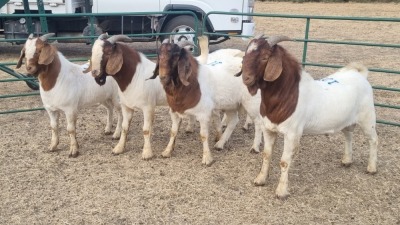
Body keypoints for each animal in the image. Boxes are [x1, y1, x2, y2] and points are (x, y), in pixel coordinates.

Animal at [236, 35, 380, 199]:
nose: (246, 78)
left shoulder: (292, 133)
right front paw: (260, 179)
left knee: (373, 140)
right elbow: (266, 155)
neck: (288, 94)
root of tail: (359, 75)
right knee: (348, 135)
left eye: (265, 57)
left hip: (367, 117)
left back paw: (371, 168)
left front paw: (281, 191)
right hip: (347, 120)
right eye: (245, 56)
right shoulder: (269, 129)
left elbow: (284, 161)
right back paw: (347, 160)